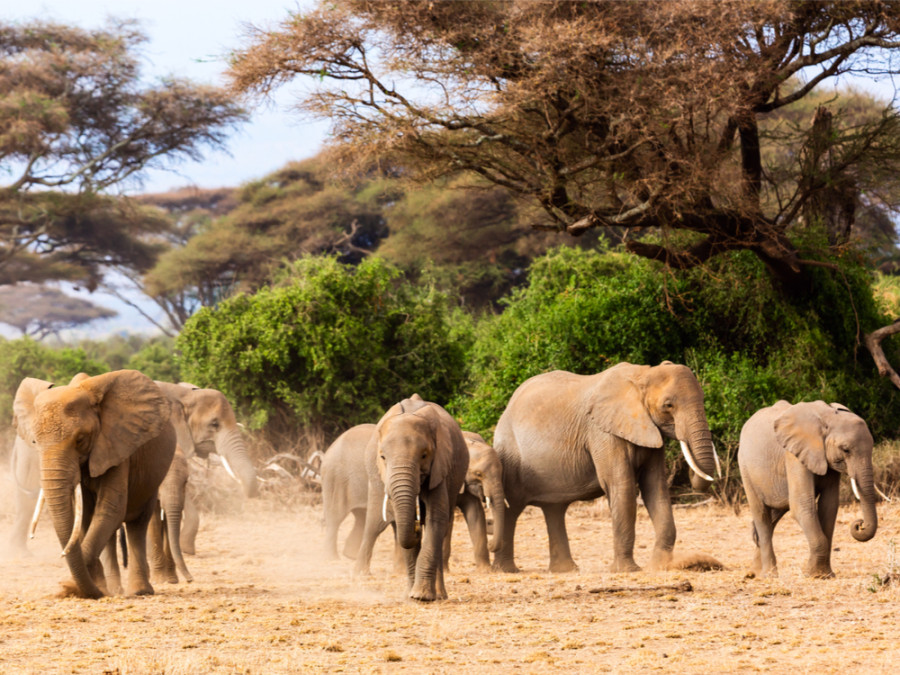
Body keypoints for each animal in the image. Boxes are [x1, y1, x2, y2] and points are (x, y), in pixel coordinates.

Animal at [12, 372, 176, 600]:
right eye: (35, 442)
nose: (66, 586)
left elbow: (110, 509)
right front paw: (91, 588)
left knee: (137, 524)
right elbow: (85, 518)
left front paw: (71, 586)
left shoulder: (116, 444)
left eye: (80, 439)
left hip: (152, 477)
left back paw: (139, 591)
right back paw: (114, 589)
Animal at [488, 362, 720, 572]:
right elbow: (622, 487)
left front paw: (659, 566)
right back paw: (505, 570)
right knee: (512, 508)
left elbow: (655, 488)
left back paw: (566, 570)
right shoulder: (603, 433)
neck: (642, 374)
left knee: (554, 509)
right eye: (668, 405)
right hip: (510, 455)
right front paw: (628, 570)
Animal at [740, 402, 884, 580]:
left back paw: (754, 573)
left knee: (775, 515)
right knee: (762, 515)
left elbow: (829, 506)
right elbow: (802, 505)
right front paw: (813, 575)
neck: (827, 417)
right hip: (745, 468)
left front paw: (825, 575)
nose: (859, 524)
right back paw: (769, 575)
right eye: (845, 449)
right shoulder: (794, 456)